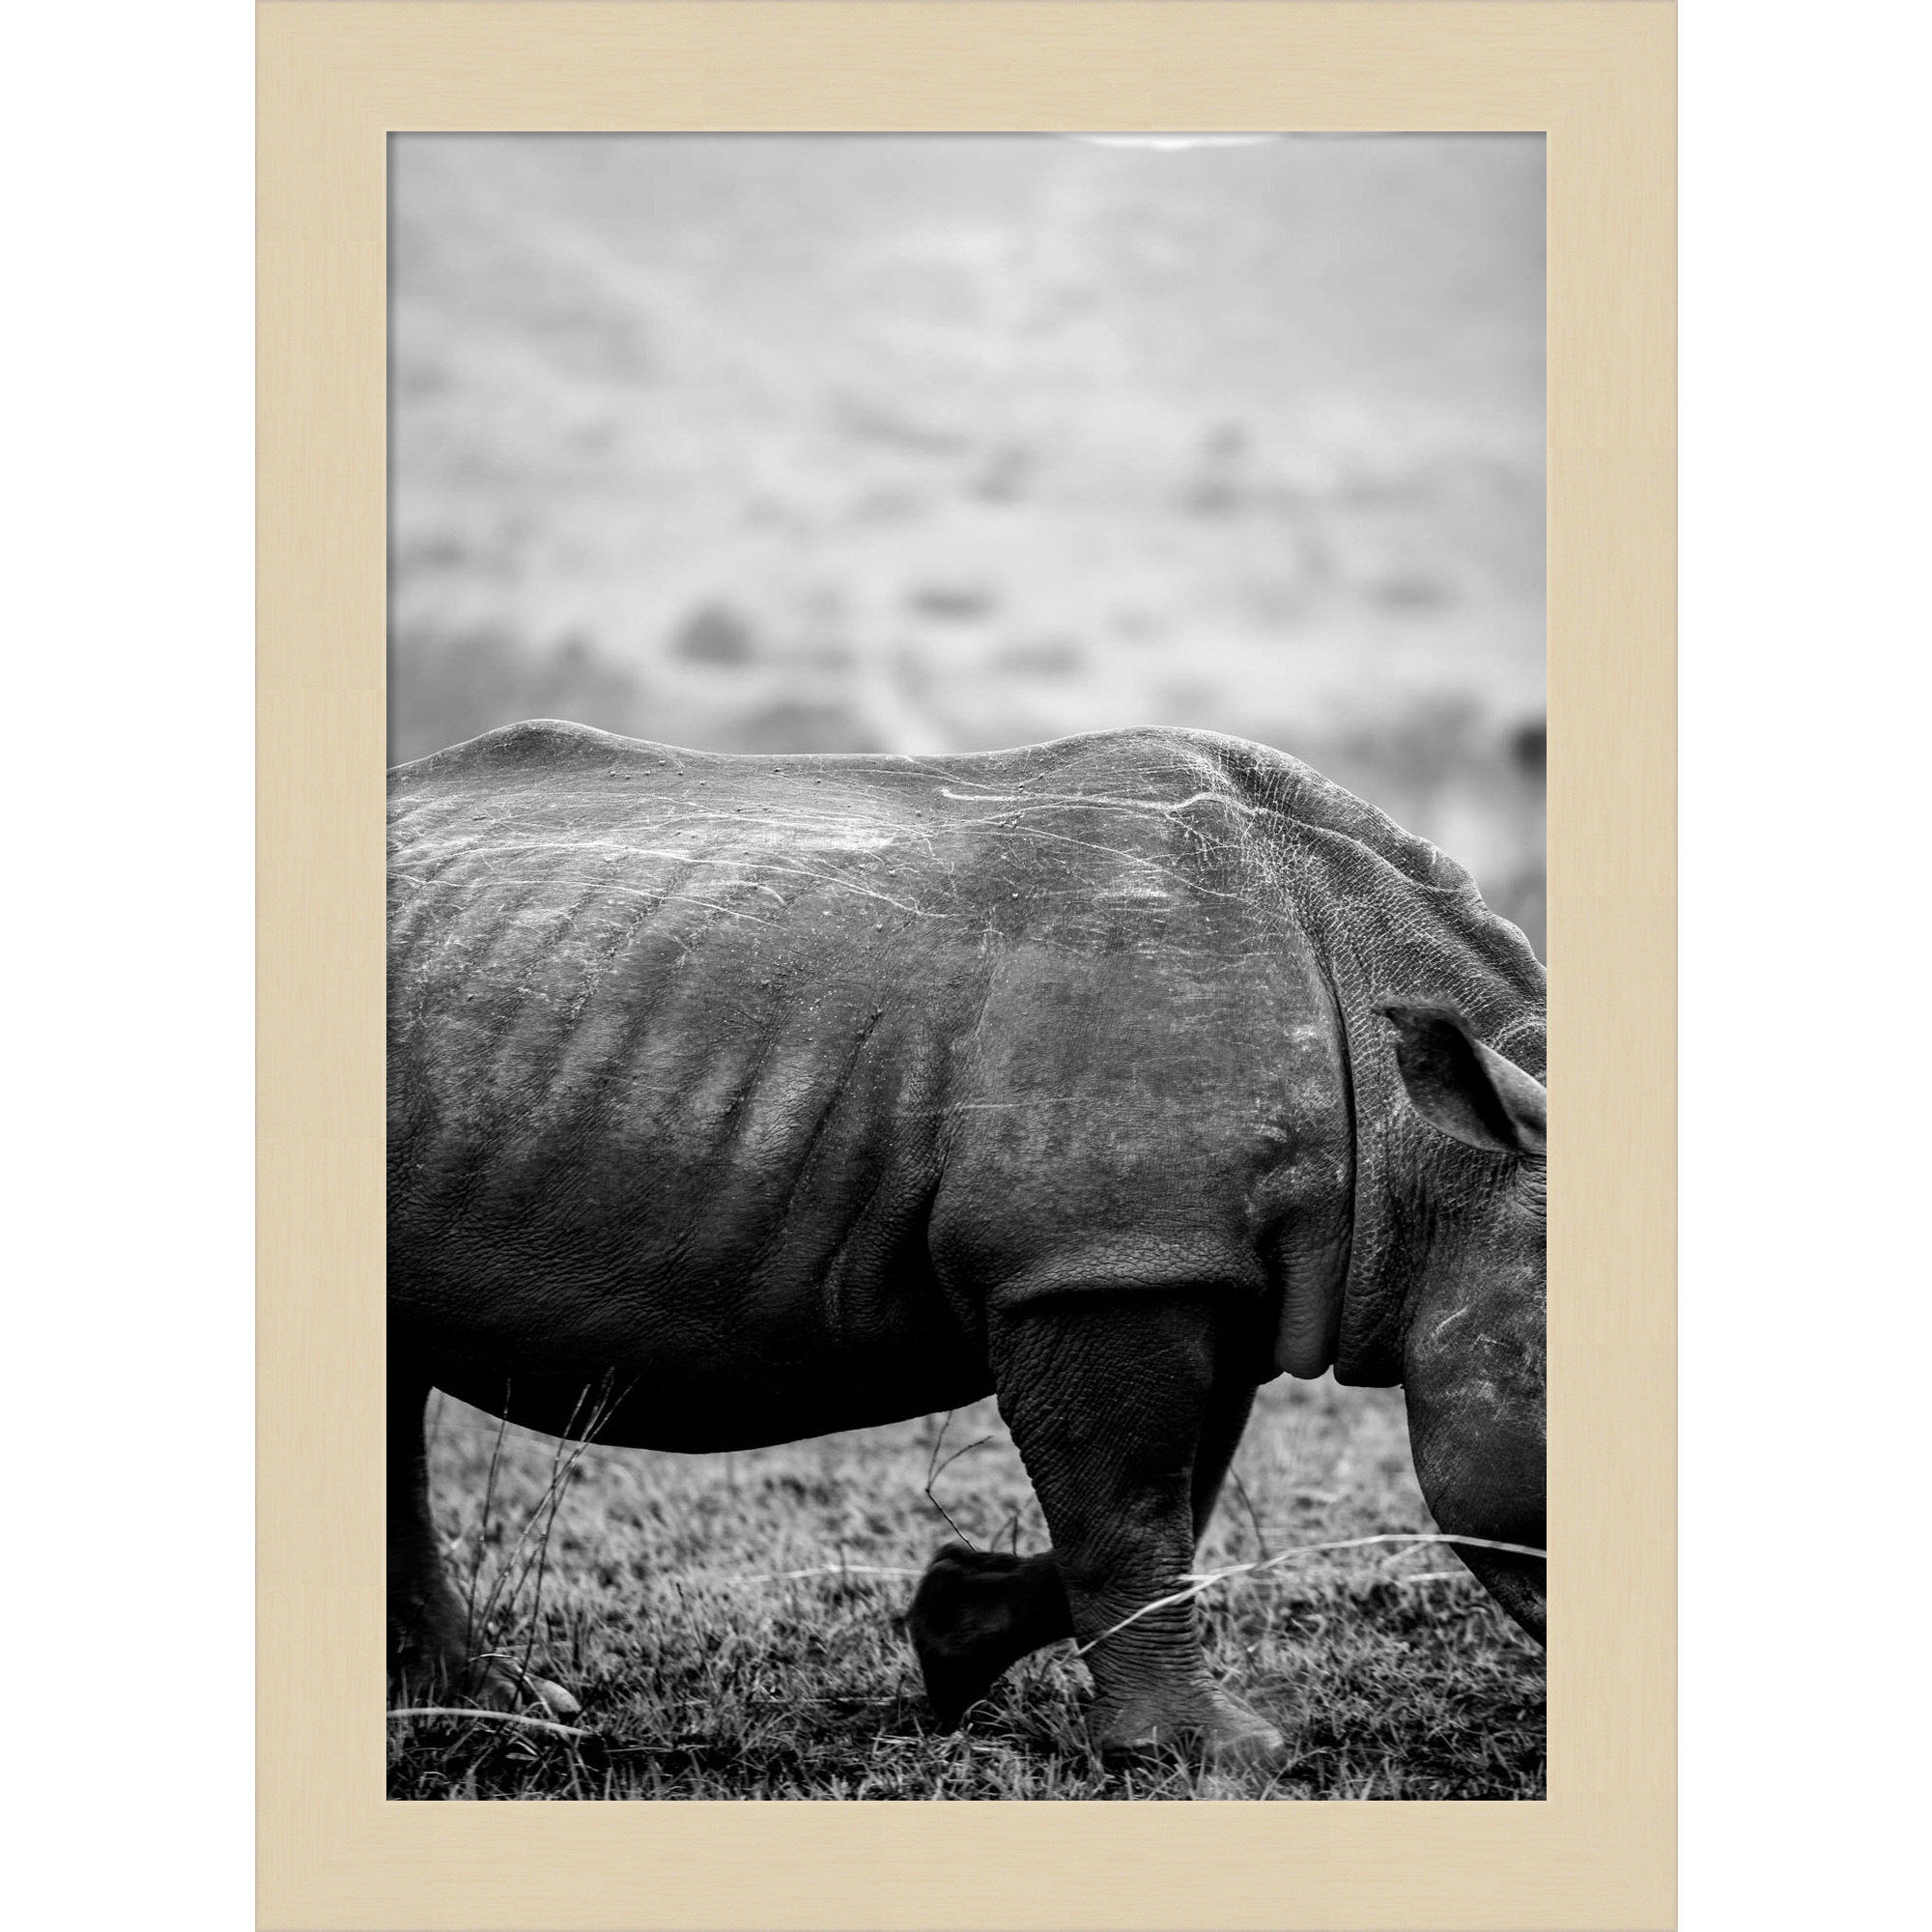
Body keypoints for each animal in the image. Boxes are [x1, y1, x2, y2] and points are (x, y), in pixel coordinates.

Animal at [388, 720, 1546, 1762]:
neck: (1429, 1155)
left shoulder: (1187, 1261)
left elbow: (1179, 1492)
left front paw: (953, 1635)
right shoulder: (1096, 1260)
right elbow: (1132, 1505)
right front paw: (1205, 1754)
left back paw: (485, 1701)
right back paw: (500, 1708)